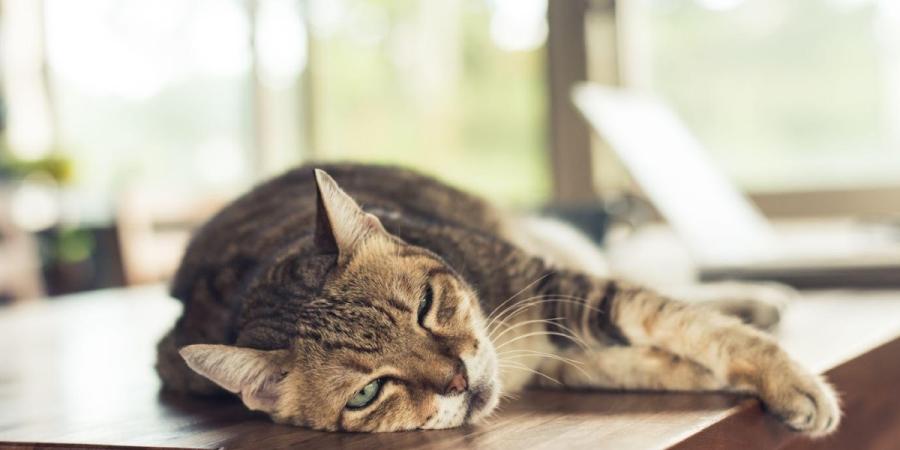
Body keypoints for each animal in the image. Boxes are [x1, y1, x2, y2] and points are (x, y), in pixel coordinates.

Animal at [158, 165, 840, 436]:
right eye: (366, 393)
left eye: (427, 305)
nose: (459, 379)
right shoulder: (570, 354)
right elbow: (661, 355)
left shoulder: (559, 286)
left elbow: (690, 325)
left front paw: (792, 381)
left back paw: (759, 294)